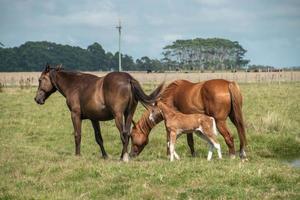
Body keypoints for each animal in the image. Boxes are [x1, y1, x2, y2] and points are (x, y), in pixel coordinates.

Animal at [34, 65, 164, 162]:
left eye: (40, 80)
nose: (37, 99)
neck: (74, 85)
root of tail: (128, 79)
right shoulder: (94, 119)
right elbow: (99, 138)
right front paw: (105, 156)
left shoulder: (75, 115)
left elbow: (77, 135)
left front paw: (77, 155)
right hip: (129, 114)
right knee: (127, 133)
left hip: (118, 116)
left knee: (123, 134)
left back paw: (123, 157)